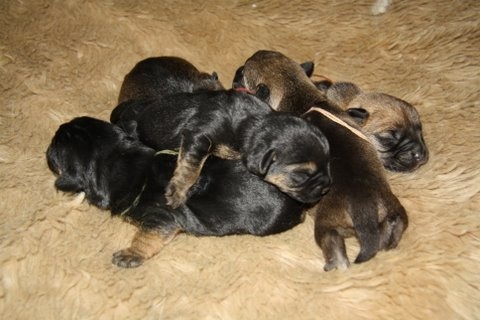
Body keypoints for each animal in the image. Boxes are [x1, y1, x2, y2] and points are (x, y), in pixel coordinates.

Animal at [45, 117, 308, 268]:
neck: (117, 160)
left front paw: (131, 254)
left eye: (54, 146)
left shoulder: (160, 218)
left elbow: (146, 237)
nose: (48, 145)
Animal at [110, 90, 332, 209]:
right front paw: (178, 192)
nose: (325, 190)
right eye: (301, 175)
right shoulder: (199, 135)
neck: (250, 124)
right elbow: (191, 166)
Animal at [234, 50, 406, 270]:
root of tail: (364, 210)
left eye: (244, 70)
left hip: (327, 223)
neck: (298, 92)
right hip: (394, 210)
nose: (237, 70)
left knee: (332, 242)